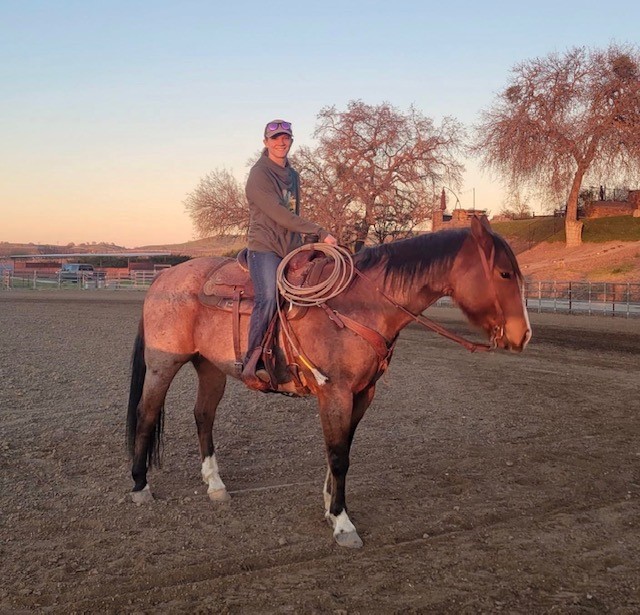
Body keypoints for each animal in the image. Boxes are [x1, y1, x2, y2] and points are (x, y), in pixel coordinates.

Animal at [126, 215, 531, 548]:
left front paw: (329, 505)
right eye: (504, 274)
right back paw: (140, 486)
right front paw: (342, 523)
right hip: (163, 364)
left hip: (210, 366)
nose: (523, 335)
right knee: (147, 414)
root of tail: (162, 277)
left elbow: (342, 449)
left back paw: (215, 485)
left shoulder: (362, 393)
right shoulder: (334, 392)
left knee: (203, 416)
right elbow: (338, 456)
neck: (360, 306)